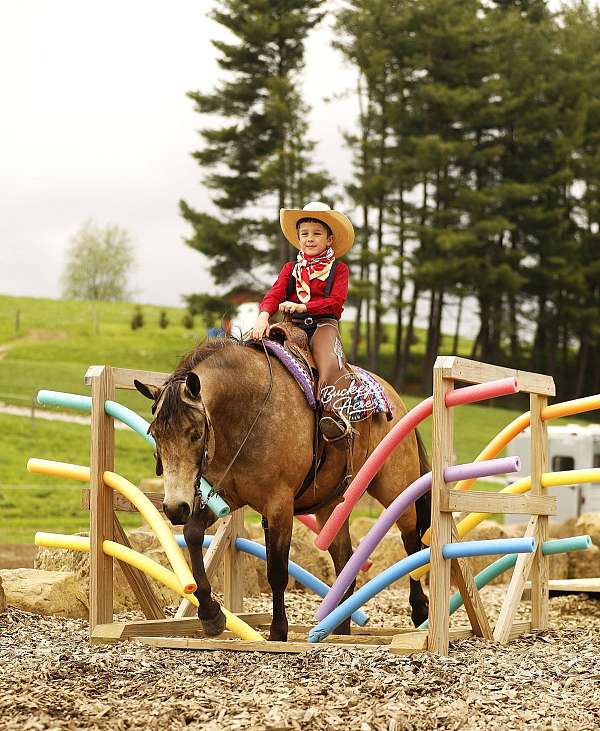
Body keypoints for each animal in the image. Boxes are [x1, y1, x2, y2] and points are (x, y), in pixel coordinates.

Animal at [135, 338, 431, 641]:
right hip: (331, 507)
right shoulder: (228, 495)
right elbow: (193, 534)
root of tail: (395, 399)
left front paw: (278, 631)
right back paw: (338, 630)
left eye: (195, 434)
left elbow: (277, 570)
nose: (174, 508)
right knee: (344, 562)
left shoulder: (279, 505)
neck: (248, 413)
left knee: (411, 541)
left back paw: (420, 611)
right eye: (155, 434)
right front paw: (210, 614)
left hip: (395, 488)